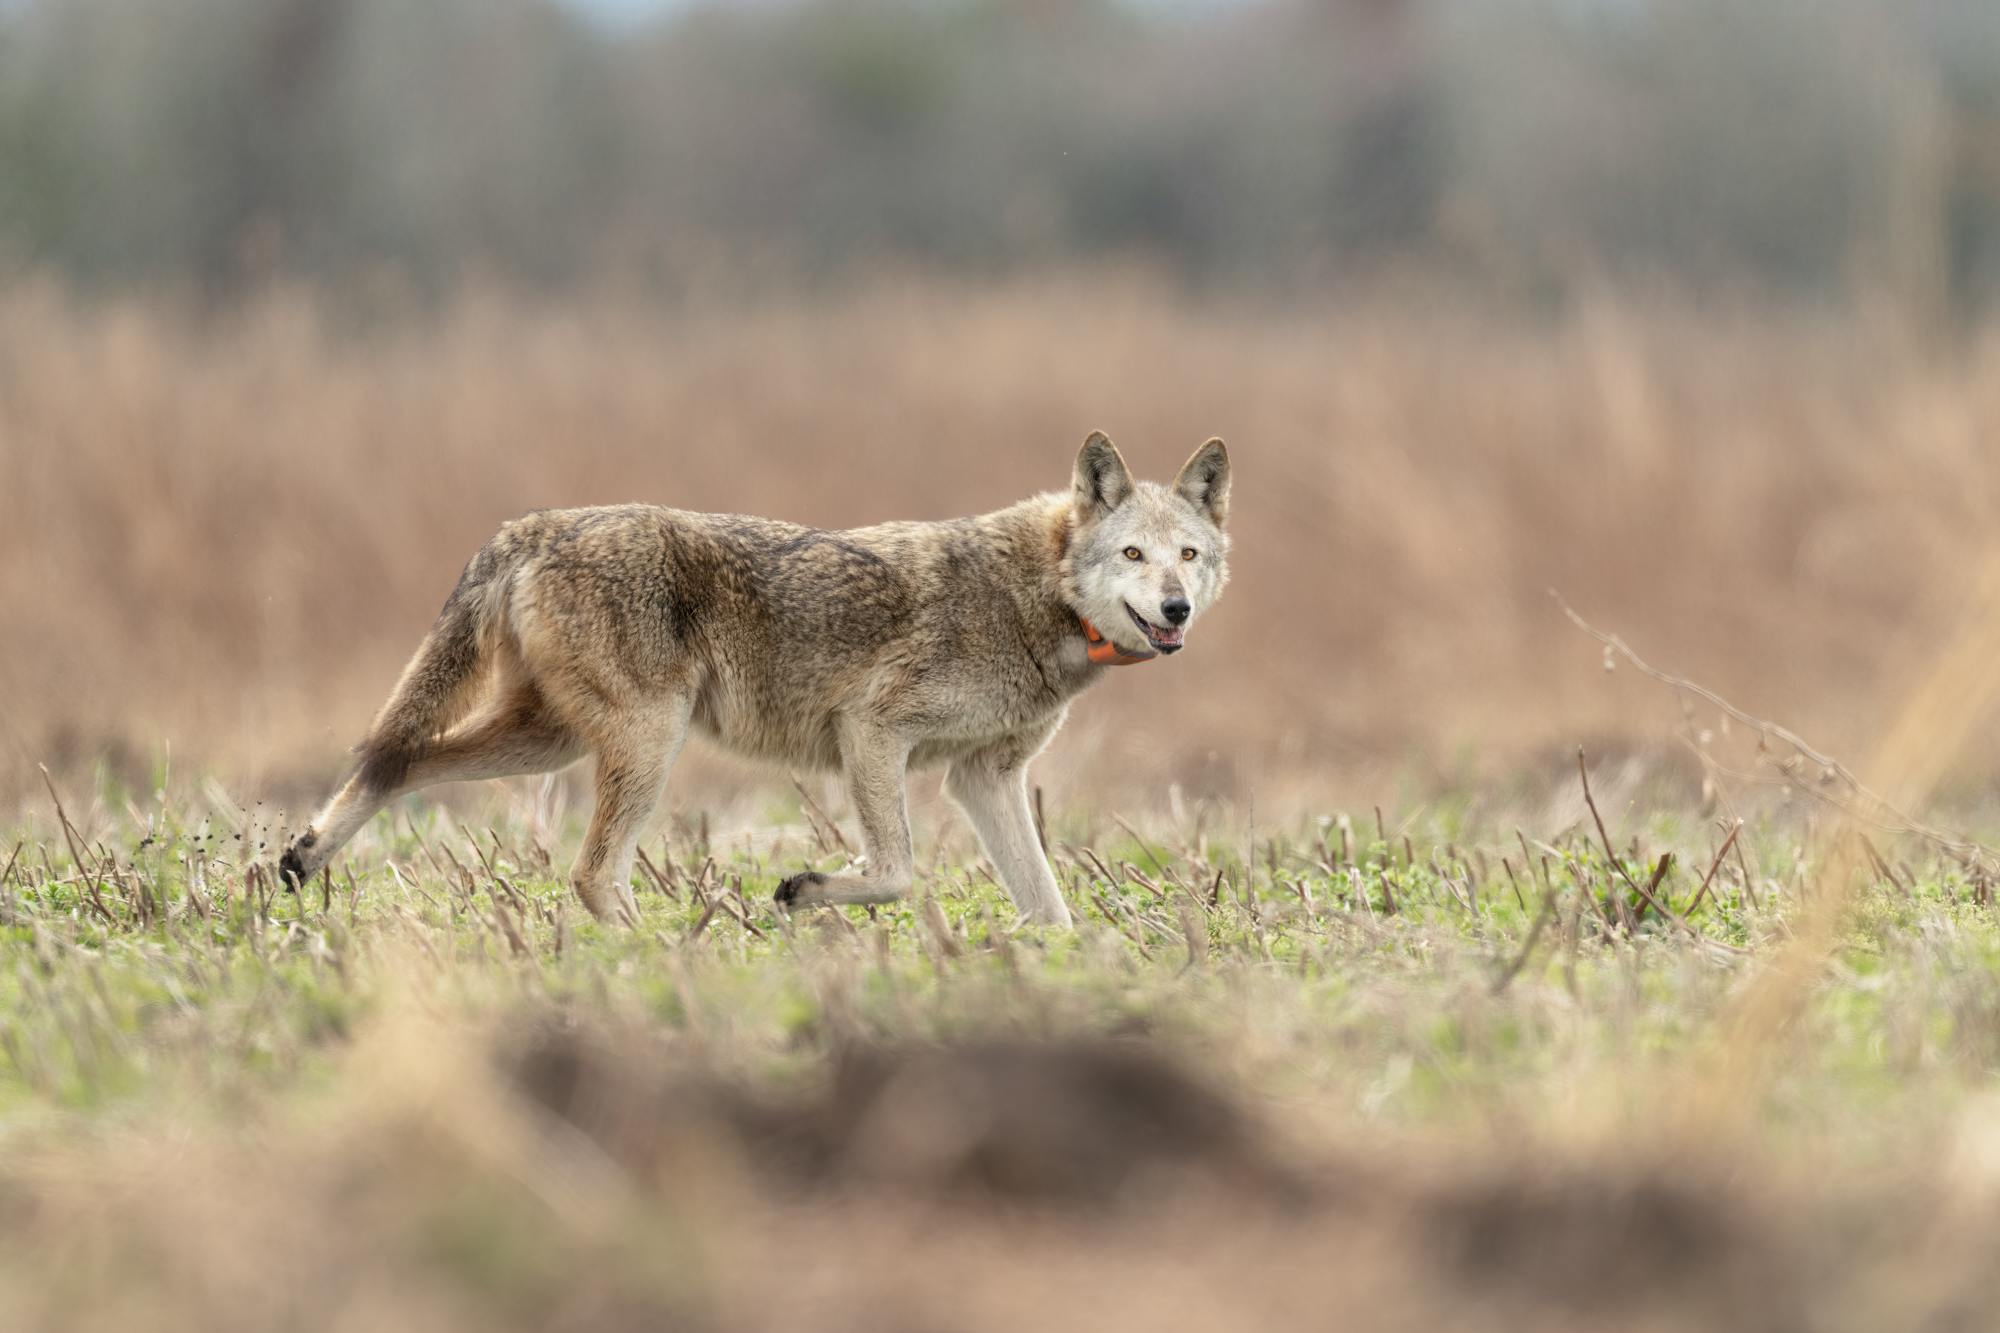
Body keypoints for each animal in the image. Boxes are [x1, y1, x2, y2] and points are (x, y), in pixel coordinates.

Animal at [276, 434, 1224, 924]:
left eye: (1188, 555)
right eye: (1132, 555)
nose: (1176, 609)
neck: (1040, 597)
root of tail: (536, 525)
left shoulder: (982, 778)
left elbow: (1050, 908)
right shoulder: (871, 730)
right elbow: (897, 868)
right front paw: (806, 890)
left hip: (551, 744)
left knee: (398, 760)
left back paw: (300, 858)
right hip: (643, 744)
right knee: (588, 872)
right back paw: (666, 957)